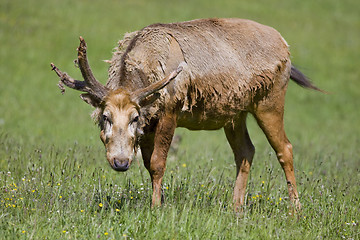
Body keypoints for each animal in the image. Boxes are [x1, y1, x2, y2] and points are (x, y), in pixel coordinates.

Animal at [50, 17, 320, 211]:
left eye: (134, 118)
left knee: (285, 148)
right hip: (235, 114)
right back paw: (236, 207)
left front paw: (156, 208)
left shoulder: (170, 111)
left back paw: (295, 209)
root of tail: (286, 47)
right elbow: (148, 164)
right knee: (246, 151)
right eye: (105, 116)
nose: (120, 161)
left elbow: (158, 163)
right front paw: (159, 200)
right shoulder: (150, 125)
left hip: (270, 100)